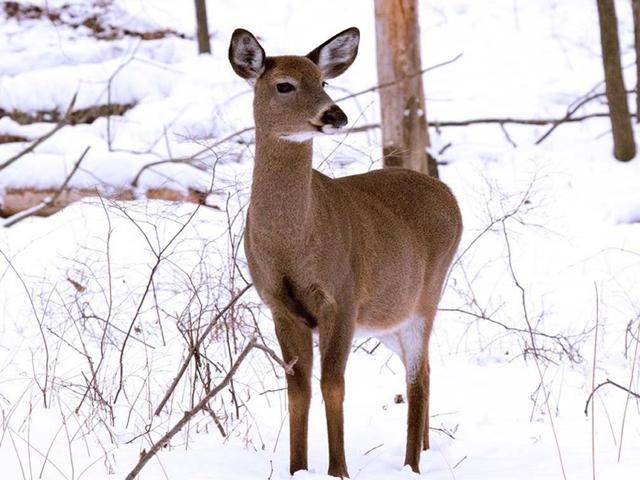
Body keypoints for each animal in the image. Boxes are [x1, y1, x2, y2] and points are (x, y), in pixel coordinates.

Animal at [228, 27, 462, 480]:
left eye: (324, 81)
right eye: (285, 84)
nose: (335, 115)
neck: (291, 245)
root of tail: (448, 194)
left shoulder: (342, 296)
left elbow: (332, 385)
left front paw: (338, 470)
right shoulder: (279, 305)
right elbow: (298, 389)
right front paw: (297, 468)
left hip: (425, 296)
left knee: (416, 380)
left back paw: (412, 463)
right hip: (389, 316)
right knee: (424, 369)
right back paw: (425, 448)